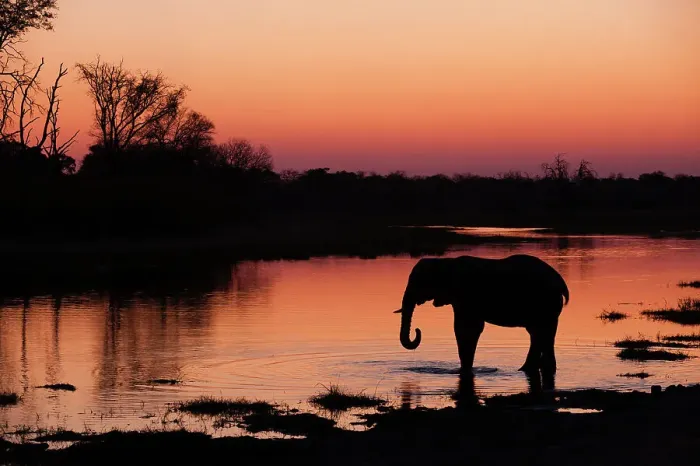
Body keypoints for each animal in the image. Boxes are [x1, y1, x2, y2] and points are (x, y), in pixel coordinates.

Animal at [395, 254, 569, 374]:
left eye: (418, 282)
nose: (418, 330)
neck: (445, 262)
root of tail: (561, 282)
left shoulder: (466, 296)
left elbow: (467, 328)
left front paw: (465, 371)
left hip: (545, 302)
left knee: (540, 333)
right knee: (541, 334)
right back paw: (531, 370)